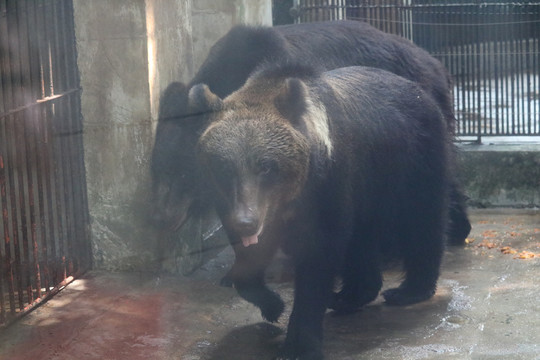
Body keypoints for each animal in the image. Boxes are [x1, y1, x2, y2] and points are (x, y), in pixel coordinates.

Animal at [194, 63, 452, 358]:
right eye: (224, 167)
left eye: (266, 166)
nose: (246, 222)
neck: (291, 196)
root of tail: (418, 89)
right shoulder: (235, 202)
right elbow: (250, 254)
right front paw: (273, 305)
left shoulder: (328, 186)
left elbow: (317, 259)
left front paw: (300, 342)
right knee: (361, 240)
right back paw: (349, 296)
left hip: (412, 161)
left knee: (421, 219)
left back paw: (408, 290)